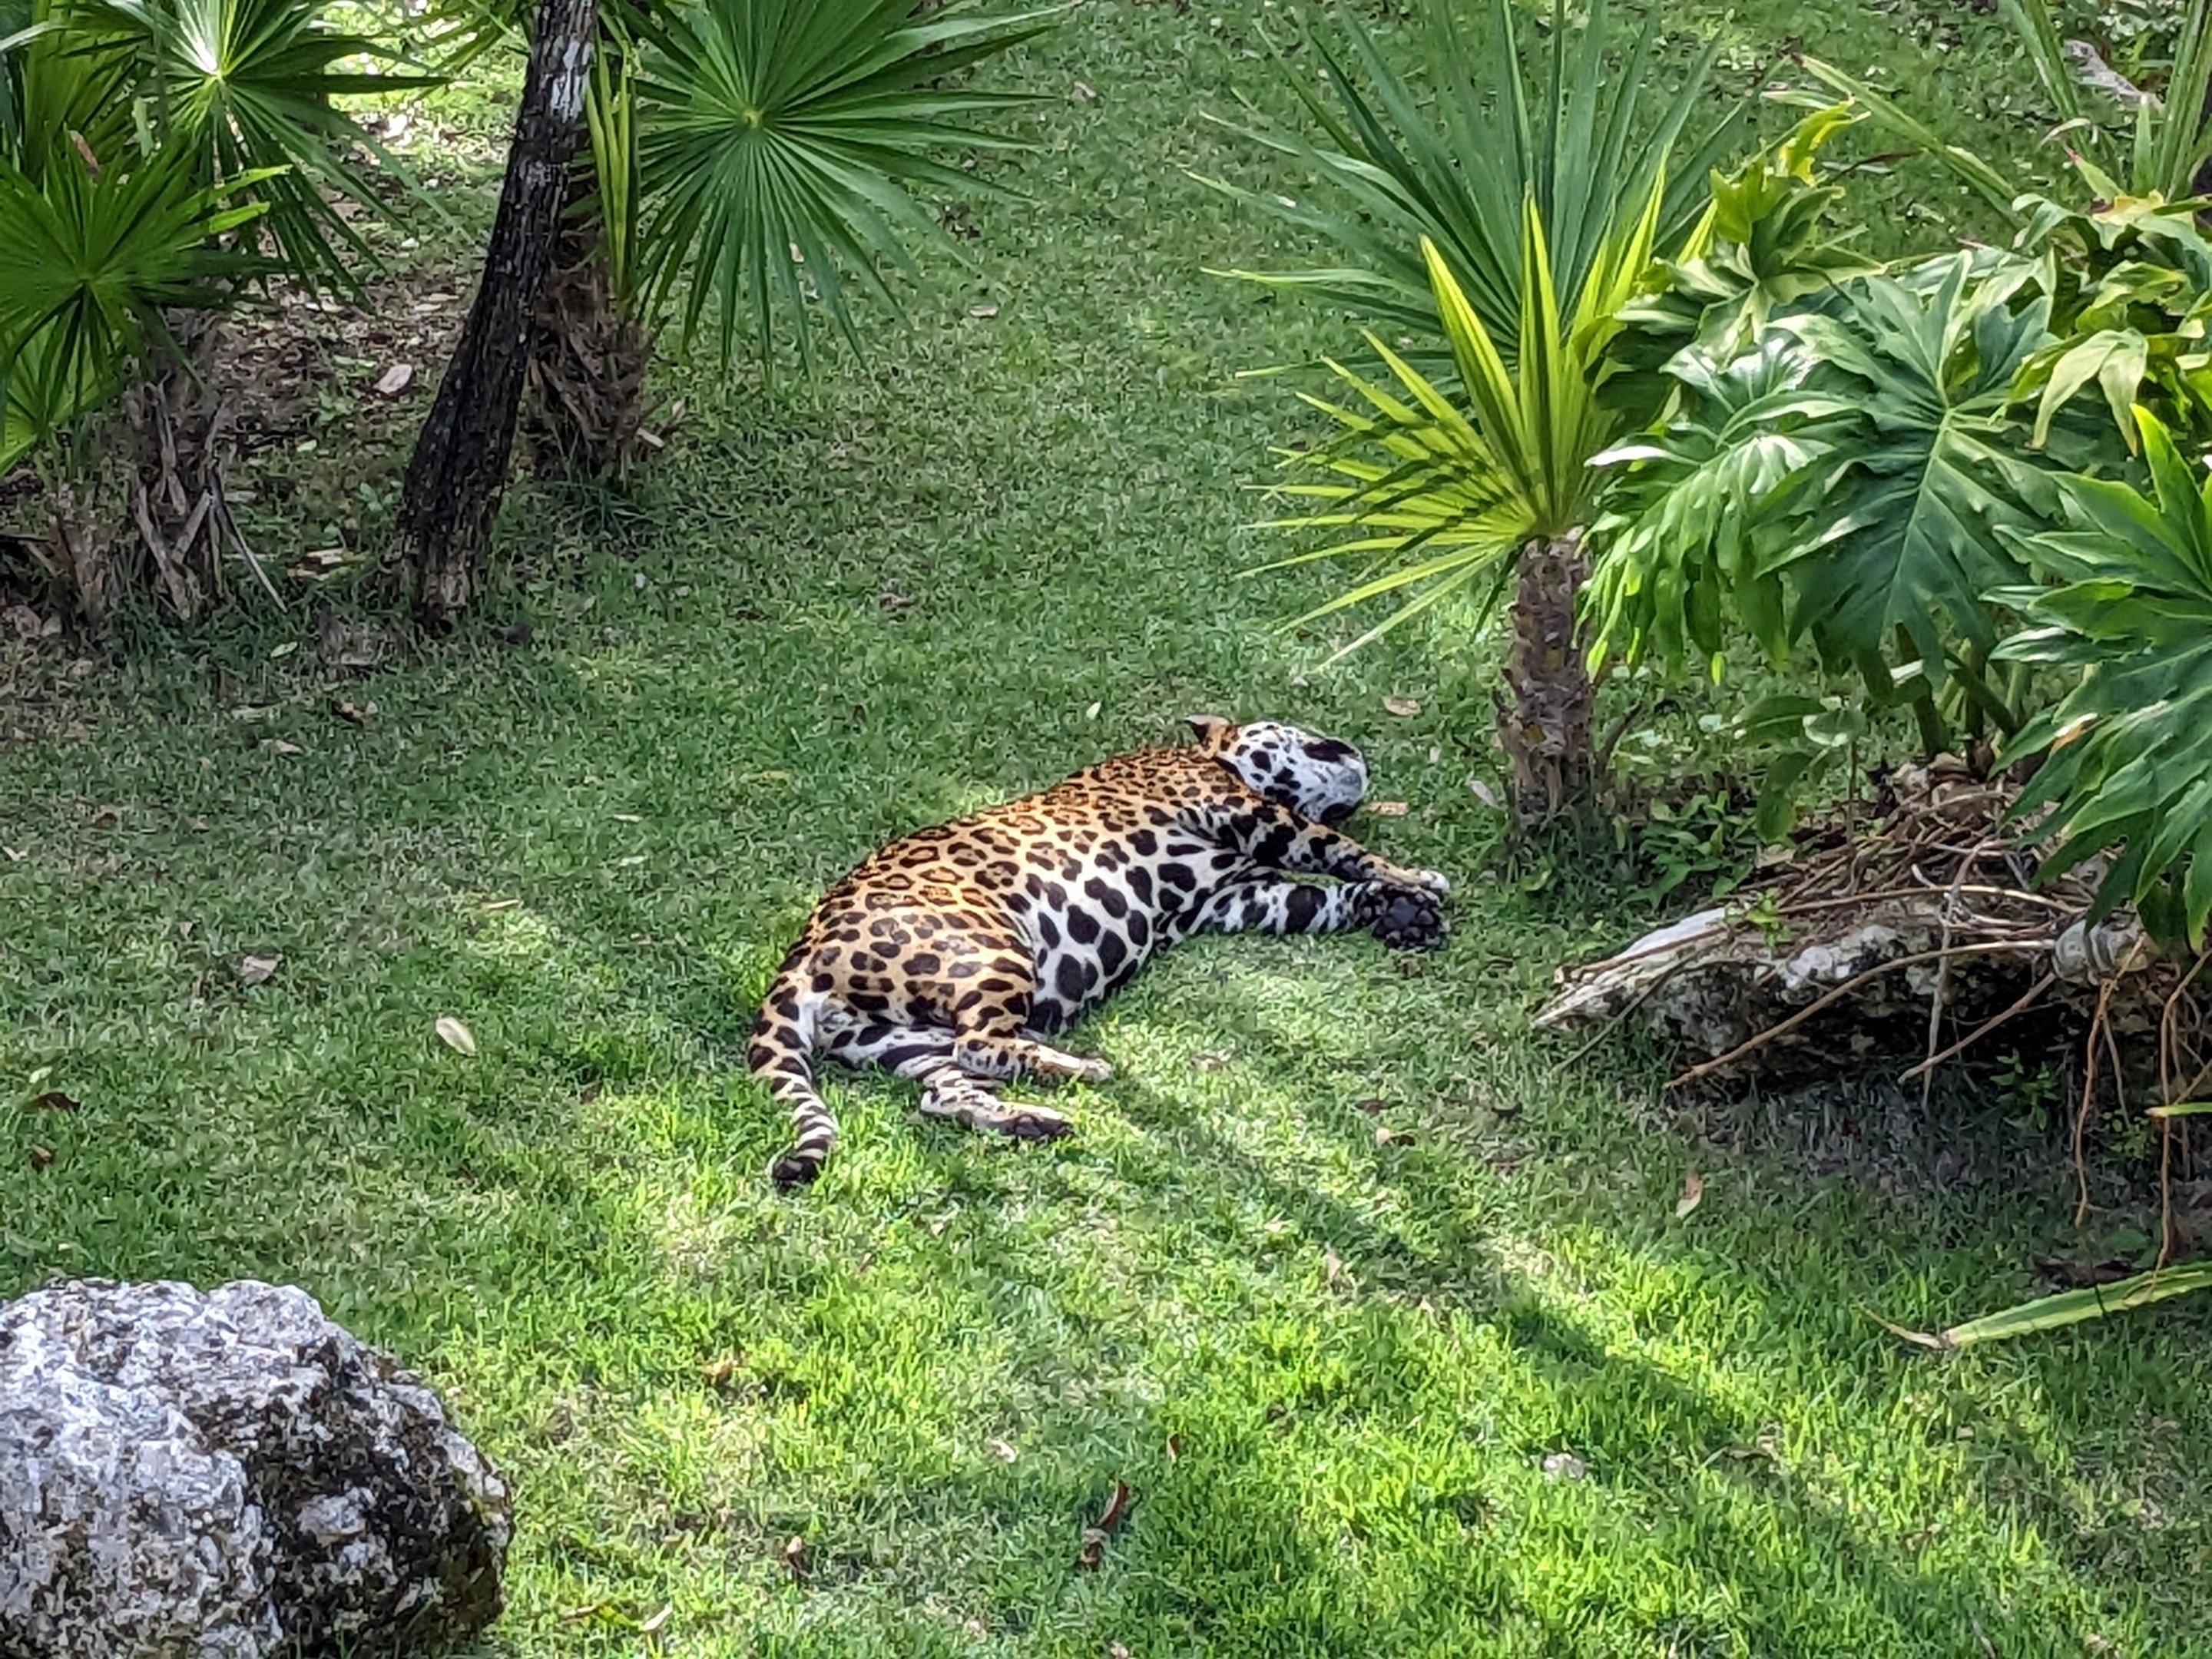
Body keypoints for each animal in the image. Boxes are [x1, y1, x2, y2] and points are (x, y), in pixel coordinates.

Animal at [747, 714, 1450, 1188]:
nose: (1351, 745)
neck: (1210, 758)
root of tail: (801, 956)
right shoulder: (1247, 814)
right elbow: (1341, 848)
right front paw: (1417, 880)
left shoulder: (1240, 897)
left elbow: (1322, 896)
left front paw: (1398, 910)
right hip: (992, 948)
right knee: (980, 1043)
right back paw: (1080, 1068)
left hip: (894, 1041)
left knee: (944, 1087)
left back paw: (1033, 1118)